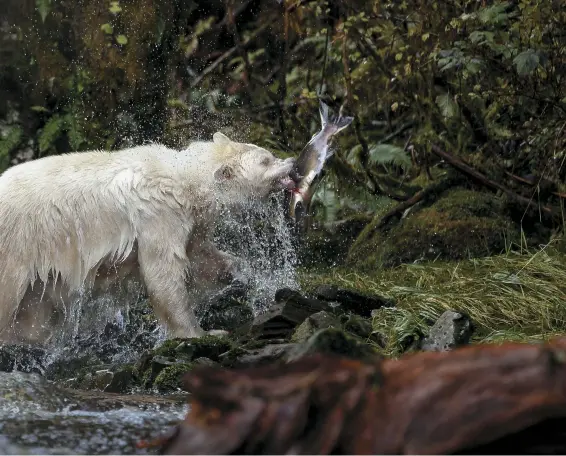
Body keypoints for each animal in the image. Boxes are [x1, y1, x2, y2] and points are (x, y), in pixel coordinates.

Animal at [0, 133, 298, 346]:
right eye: (266, 160)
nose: (293, 162)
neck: (183, 177)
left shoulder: (190, 221)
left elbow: (201, 257)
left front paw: (241, 270)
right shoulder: (160, 214)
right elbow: (165, 271)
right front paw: (203, 333)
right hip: (18, 246)